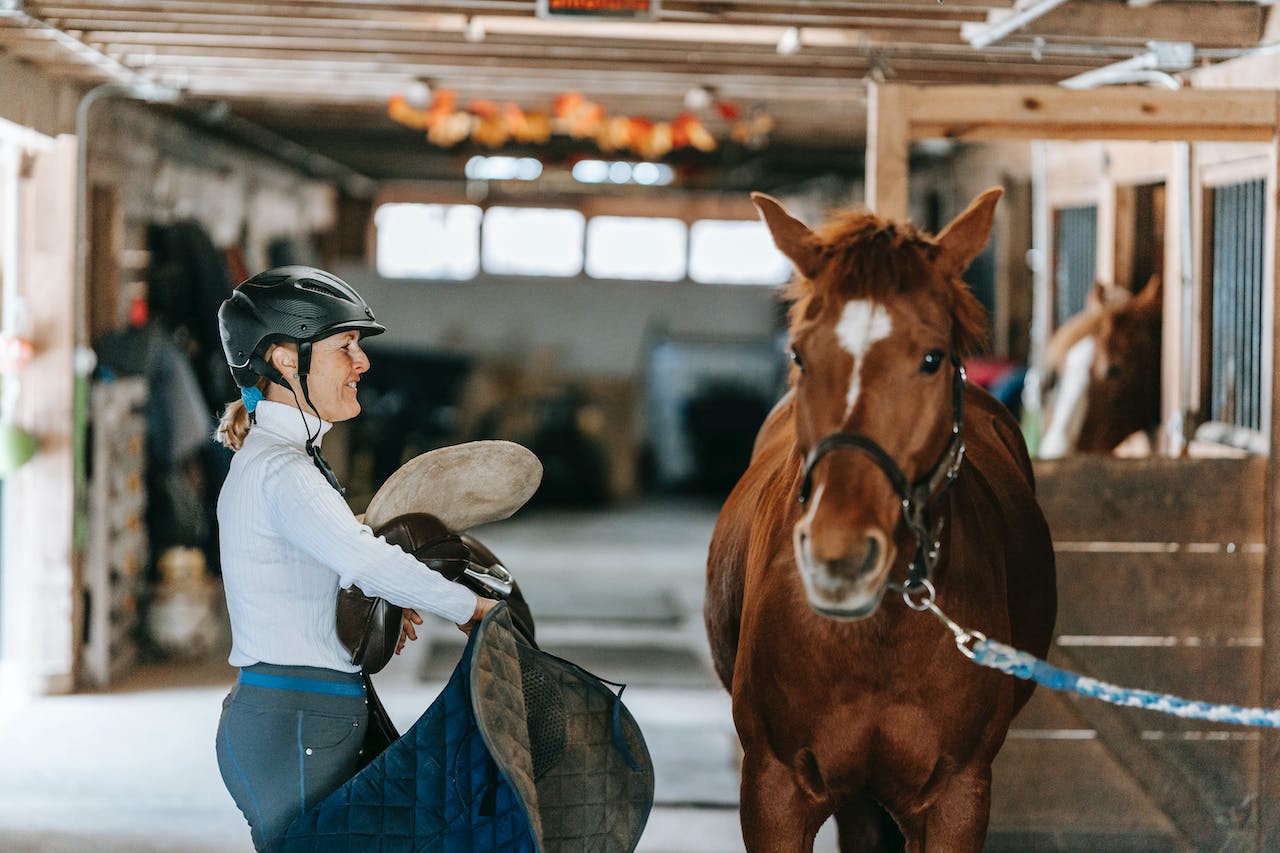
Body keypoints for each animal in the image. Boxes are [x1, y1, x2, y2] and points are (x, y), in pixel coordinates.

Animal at [706, 189, 1054, 845]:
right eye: (799, 354)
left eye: (932, 358)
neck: (878, 639)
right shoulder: (773, 793)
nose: (838, 555)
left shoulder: (958, 799)